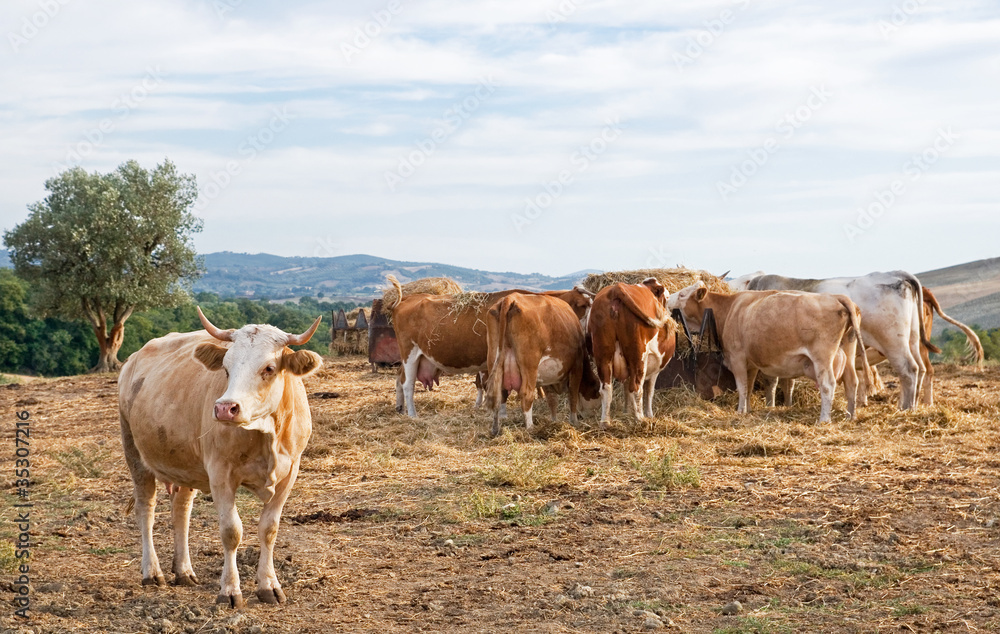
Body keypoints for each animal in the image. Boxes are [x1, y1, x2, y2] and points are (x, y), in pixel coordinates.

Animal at [117, 308, 322, 604]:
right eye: (226, 368)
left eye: (269, 368)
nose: (226, 408)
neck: (266, 435)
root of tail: (133, 358)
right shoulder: (220, 474)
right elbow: (231, 531)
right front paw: (230, 590)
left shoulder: (289, 473)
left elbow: (269, 529)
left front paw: (268, 586)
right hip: (134, 452)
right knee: (146, 509)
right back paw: (152, 572)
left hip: (186, 464)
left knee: (181, 510)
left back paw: (183, 571)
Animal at [388, 278, 592, 418]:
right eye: (583, 305)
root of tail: (405, 299)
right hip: (410, 353)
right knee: (407, 384)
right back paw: (412, 414)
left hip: (416, 357)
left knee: (400, 378)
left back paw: (400, 408)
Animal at [486, 292, 600, 434]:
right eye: (596, 390)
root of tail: (511, 297)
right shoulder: (577, 366)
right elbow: (573, 395)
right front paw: (574, 421)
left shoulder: (545, 376)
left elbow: (552, 400)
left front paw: (554, 421)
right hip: (530, 365)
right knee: (526, 395)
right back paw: (530, 428)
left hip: (493, 359)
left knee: (497, 395)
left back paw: (495, 429)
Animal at [584, 278, 680, 422]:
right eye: (667, 298)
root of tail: (617, 288)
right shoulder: (655, 370)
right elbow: (649, 392)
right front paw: (649, 414)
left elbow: (626, 390)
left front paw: (627, 412)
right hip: (638, 356)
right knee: (636, 388)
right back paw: (640, 419)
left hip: (603, 355)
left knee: (606, 388)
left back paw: (605, 421)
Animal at [668, 280, 872, 420]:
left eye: (682, 295)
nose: (668, 298)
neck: (730, 309)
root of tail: (836, 296)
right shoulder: (750, 364)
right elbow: (748, 387)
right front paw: (748, 409)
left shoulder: (737, 357)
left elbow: (741, 386)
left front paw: (740, 411)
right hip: (849, 350)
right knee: (852, 382)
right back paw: (850, 416)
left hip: (822, 356)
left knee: (828, 384)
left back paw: (824, 419)